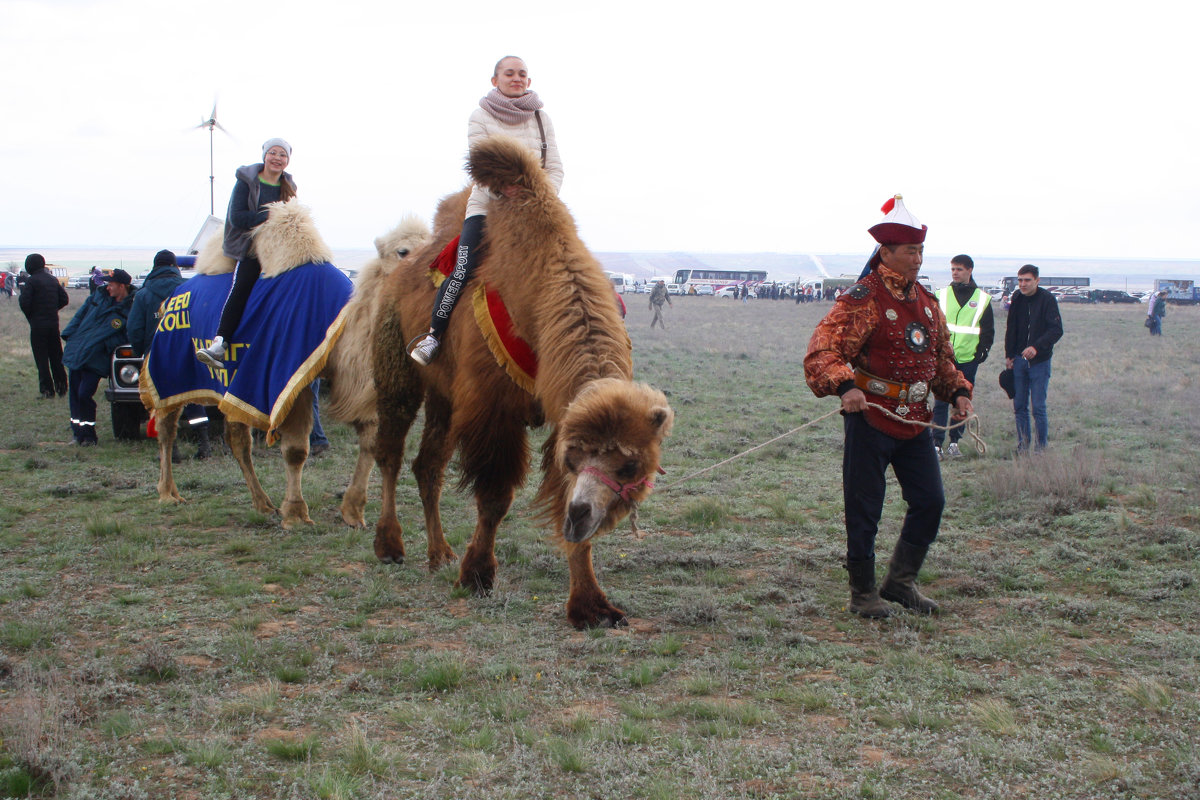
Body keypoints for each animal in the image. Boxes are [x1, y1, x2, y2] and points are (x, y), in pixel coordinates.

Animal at [148, 201, 432, 525]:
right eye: (402, 251)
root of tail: (171, 298)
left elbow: (371, 443)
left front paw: (353, 512)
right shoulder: (292, 378)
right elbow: (296, 449)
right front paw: (295, 513)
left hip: (232, 383)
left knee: (237, 438)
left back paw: (262, 503)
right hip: (170, 367)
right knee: (166, 425)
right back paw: (168, 493)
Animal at [372, 134, 676, 628]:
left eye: (630, 465)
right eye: (580, 456)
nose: (583, 514)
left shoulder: (560, 414)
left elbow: (558, 498)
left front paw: (591, 606)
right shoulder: (492, 408)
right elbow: (495, 496)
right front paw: (477, 575)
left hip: (443, 394)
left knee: (428, 465)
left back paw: (439, 553)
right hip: (398, 366)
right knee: (391, 453)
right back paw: (390, 545)